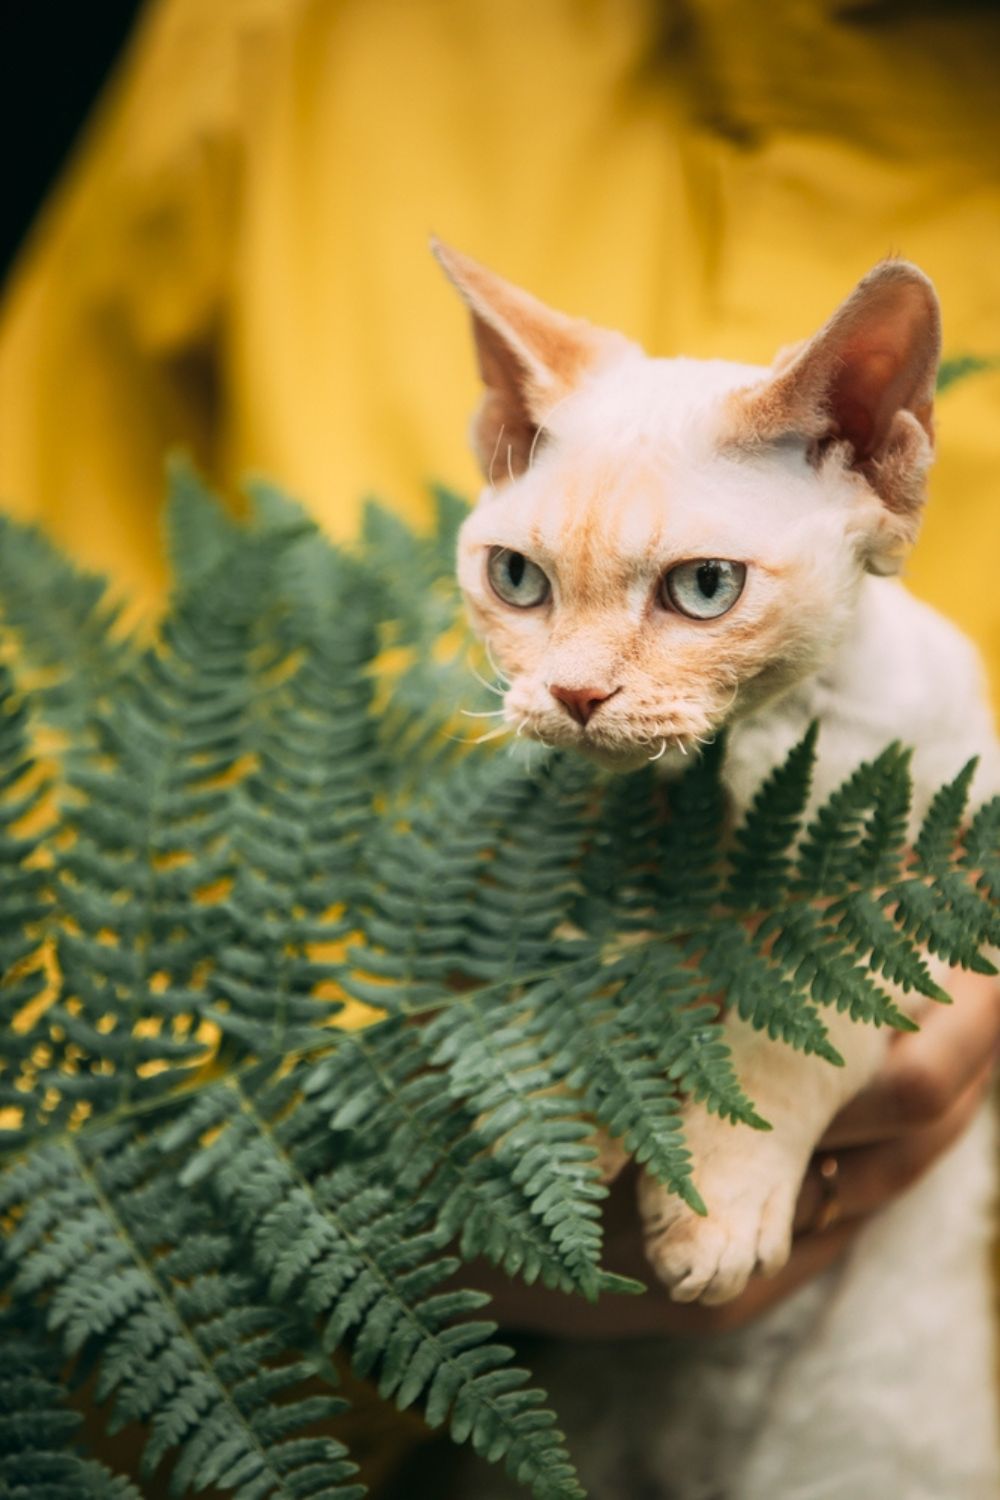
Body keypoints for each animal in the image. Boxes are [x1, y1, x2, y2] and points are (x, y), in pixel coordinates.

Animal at [434, 240, 995, 1494]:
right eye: (516, 580)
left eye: (703, 589)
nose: (573, 695)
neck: (732, 769)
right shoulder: (577, 880)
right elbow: (585, 993)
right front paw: (565, 1139)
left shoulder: (909, 897)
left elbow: (793, 1035)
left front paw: (721, 1203)